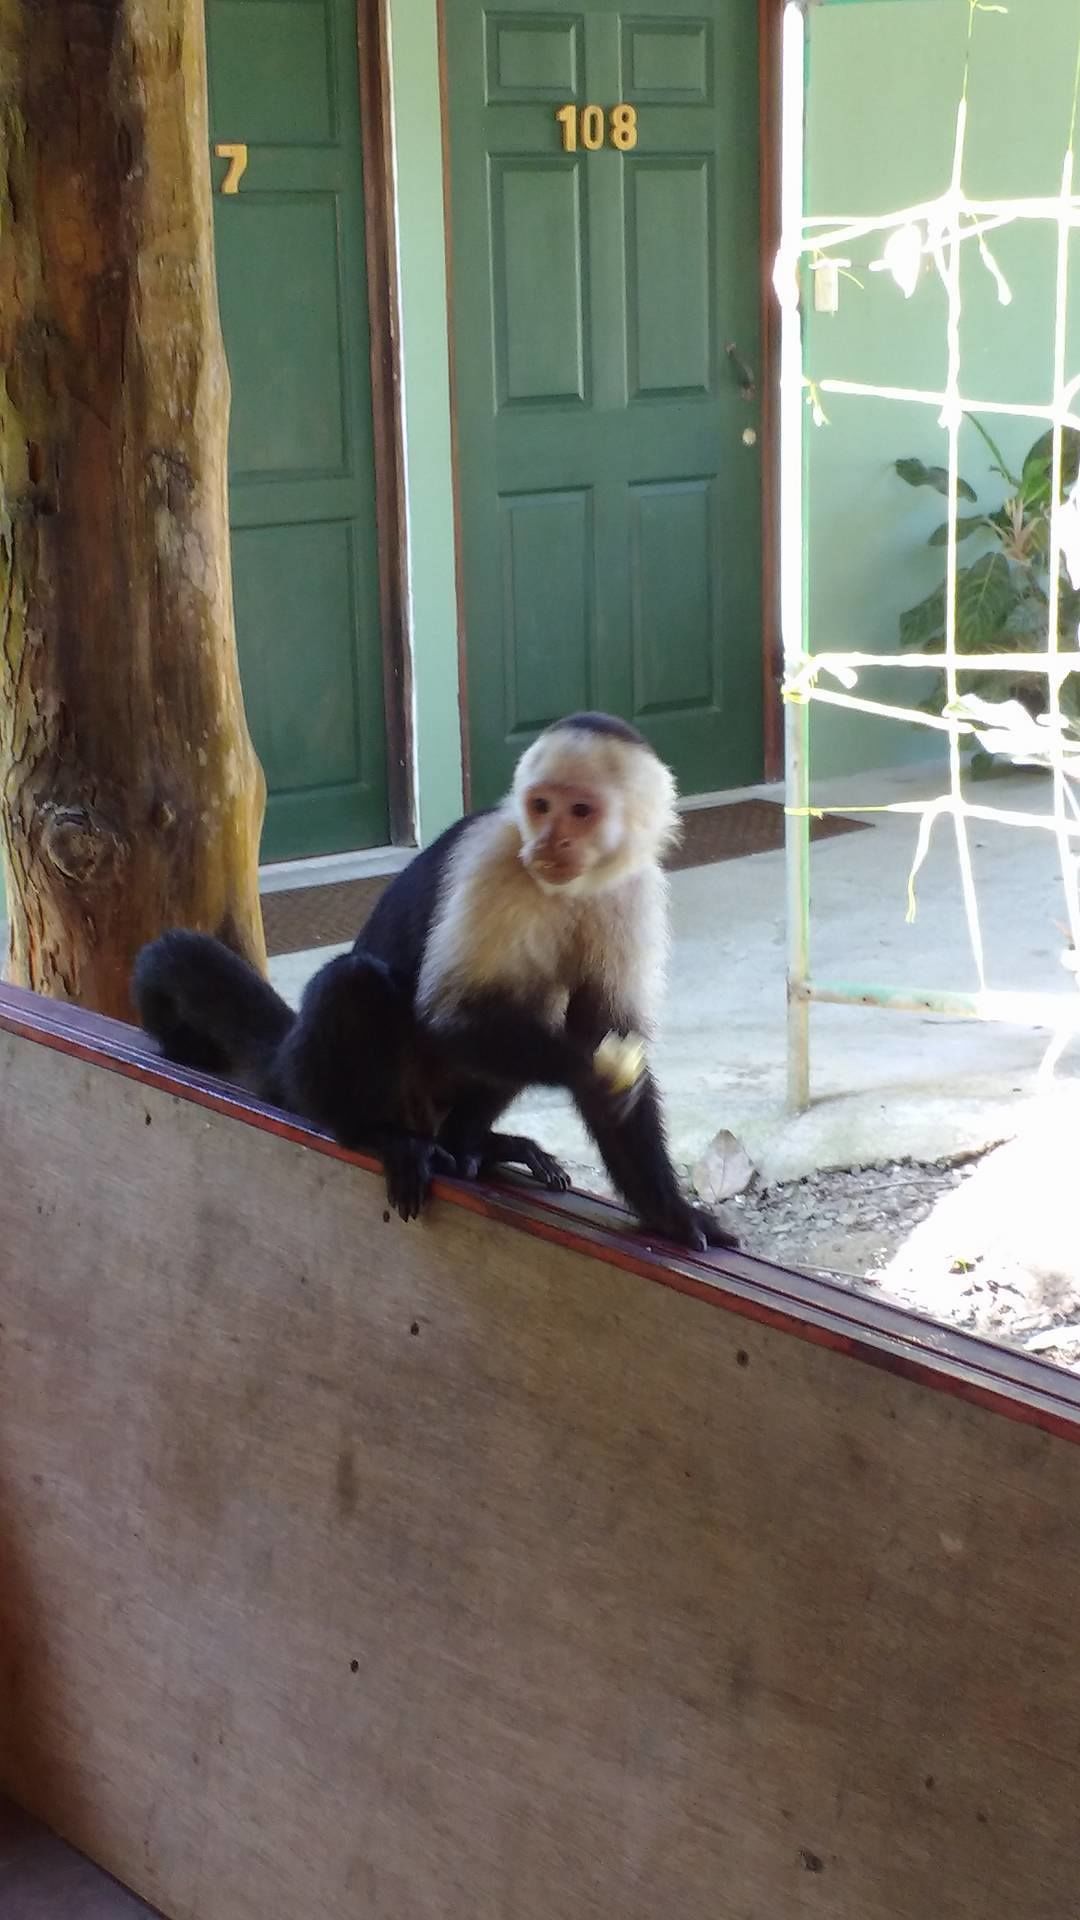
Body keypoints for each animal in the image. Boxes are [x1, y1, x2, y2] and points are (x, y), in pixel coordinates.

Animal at [132, 712, 738, 1253]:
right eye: (541, 805)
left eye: (581, 811)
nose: (547, 843)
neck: (572, 886)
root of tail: (289, 1061)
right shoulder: (496, 858)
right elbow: (451, 1017)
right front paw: (588, 1072)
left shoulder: (634, 891)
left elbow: (610, 1029)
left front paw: (670, 1213)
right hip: (340, 1084)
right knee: (354, 984)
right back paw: (381, 1136)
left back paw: (477, 1145)